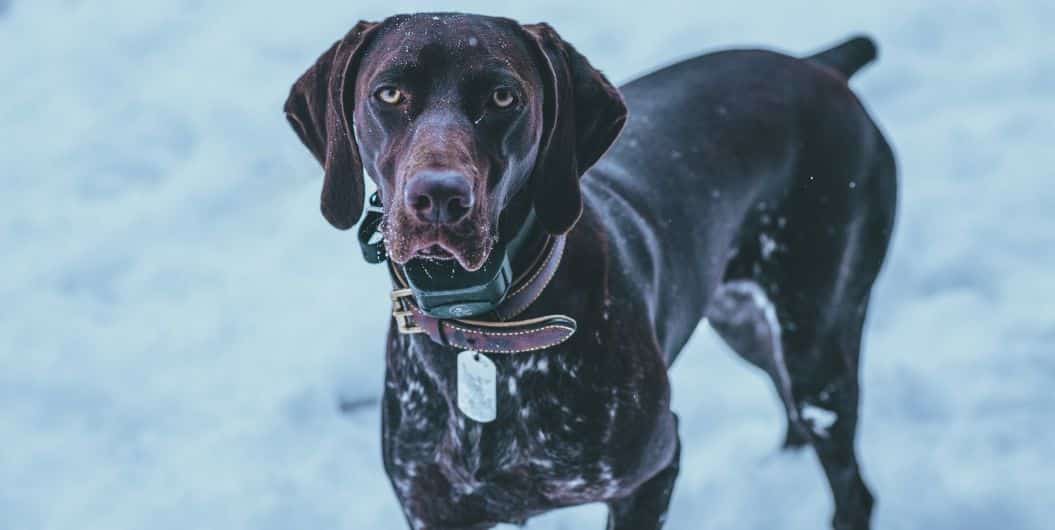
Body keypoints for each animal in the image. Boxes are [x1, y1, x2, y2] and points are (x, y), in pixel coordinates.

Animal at [284, 13, 894, 530]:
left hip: (818, 343)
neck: (487, 326)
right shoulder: (433, 511)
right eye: (389, 93)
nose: (438, 198)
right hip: (740, 317)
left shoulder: (651, 474)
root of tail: (819, 66)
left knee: (851, 484)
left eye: (503, 96)